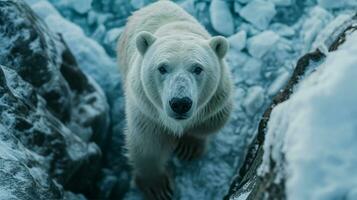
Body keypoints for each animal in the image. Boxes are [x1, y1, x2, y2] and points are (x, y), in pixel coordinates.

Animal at [117, 0, 234, 199]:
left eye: (198, 68)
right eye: (162, 68)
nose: (180, 103)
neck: (177, 30)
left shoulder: (215, 102)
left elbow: (208, 124)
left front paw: (189, 147)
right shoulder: (147, 111)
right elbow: (147, 144)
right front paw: (157, 186)